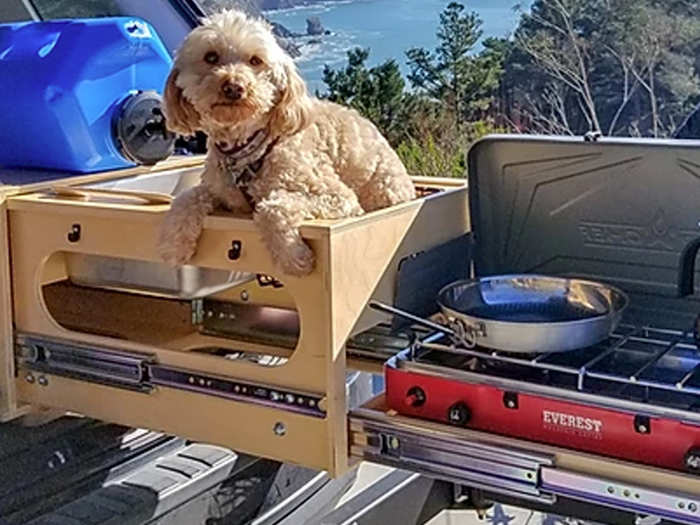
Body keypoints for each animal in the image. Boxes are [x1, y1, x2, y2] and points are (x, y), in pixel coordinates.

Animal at [159, 10, 416, 276]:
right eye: (210, 57)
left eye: (255, 60)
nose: (234, 87)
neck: (247, 150)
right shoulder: (219, 191)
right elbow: (186, 198)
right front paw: (173, 245)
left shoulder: (337, 197)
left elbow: (271, 209)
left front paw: (294, 257)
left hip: (383, 189)